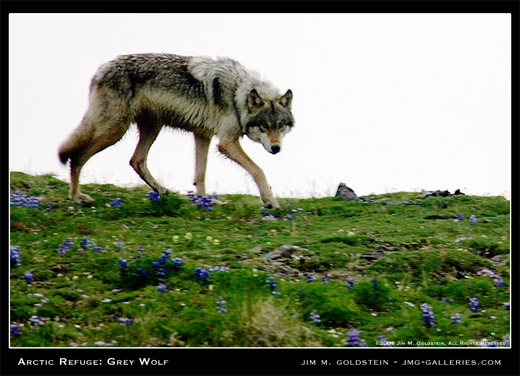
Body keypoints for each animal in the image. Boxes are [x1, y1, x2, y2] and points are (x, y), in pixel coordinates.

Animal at [57, 52, 294, 209]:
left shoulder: (203, 136)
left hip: (151, 128)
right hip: (114, 131)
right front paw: (270, 201)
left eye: (280, 126)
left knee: (137, 160)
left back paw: (162, 191)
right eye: (265, 126)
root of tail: (100, 70)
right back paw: (77, 197)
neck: (238, 94)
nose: (276, 148)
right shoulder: (226, 143)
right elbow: (258, 170)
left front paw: (204, 202)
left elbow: (200, 175)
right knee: (77, 157)